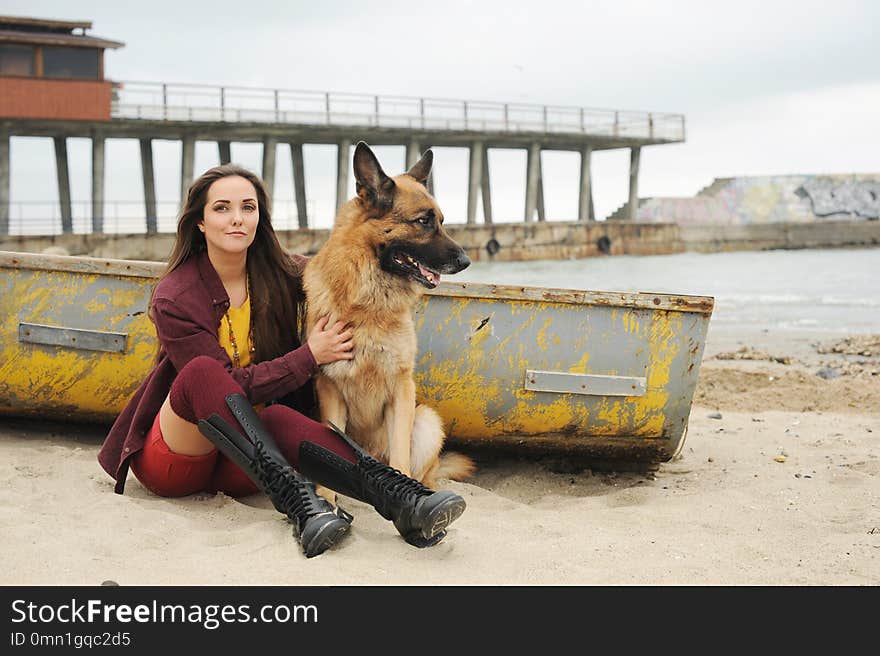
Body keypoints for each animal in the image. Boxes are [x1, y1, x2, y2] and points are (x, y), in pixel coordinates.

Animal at [306, 144, 478, 490]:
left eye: (442, 221)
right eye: (423, 221)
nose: (466, 261)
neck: (369, 302)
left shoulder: (401, 389)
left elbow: (400, 456)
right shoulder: (330, 389)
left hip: (426, 420)